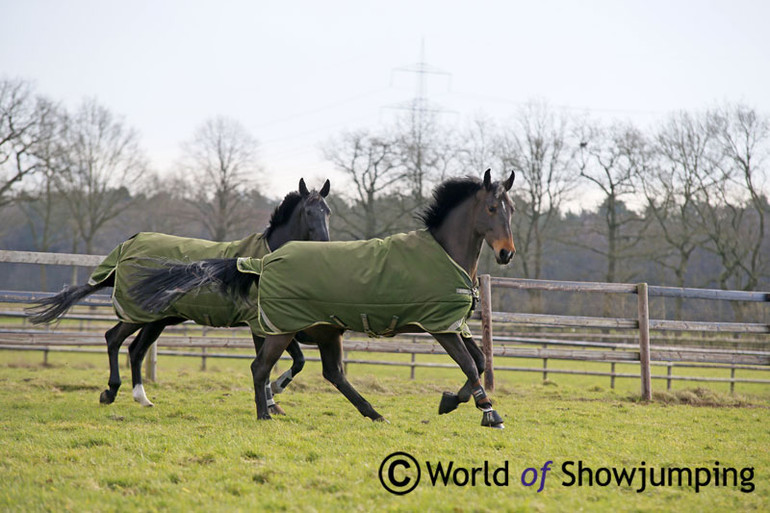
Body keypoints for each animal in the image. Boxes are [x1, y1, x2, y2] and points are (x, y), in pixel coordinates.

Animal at [27, 178, 330, 410]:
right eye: (309, 212)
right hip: (137, 313)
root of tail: (127, 245)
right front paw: (273, 399)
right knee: (113, 339)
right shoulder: (260, 325)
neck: (265, 258)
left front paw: (276, 396)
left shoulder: (275, 323)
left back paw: (142, 398)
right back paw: (110, 392)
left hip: (157, 319)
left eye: (327, 210)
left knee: (136, 350)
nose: (326, 243)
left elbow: (298, 361)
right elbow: (270, 365)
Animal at [129, 170, 516, 426]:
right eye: (492, 208)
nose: (506, 253)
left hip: (324, 331)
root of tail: (263, 262)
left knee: (333, 374)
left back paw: (373, 413)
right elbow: (470, 365)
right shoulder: (441, 327)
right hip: (282, 328)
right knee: (259, 367)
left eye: (511, 209)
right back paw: (264, 414)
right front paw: (489, 411)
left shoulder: (456, 325)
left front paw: (450, 401)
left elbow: (479, 362)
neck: (444, 253)